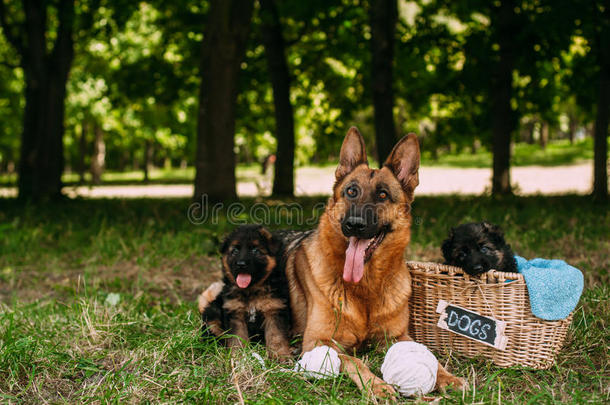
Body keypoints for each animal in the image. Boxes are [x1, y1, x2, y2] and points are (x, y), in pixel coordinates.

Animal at [195, 224, 290, 360]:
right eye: (235, 251)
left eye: (255, 250)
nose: (241, 264)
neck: (252, 291)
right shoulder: (235, 313)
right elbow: (237, 338)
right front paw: (239, 357)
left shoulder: (274, 310)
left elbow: (277, 337)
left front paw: (281, 357)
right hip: (212, 313)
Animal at [284, 128, 460, 396]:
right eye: (351, 191)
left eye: (383, 195)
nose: (354, 224)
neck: (366, 287)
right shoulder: (317, 342)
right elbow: (353, 360)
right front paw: (377, 385)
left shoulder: (398, 336)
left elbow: (428, 355)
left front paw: (447, 377)